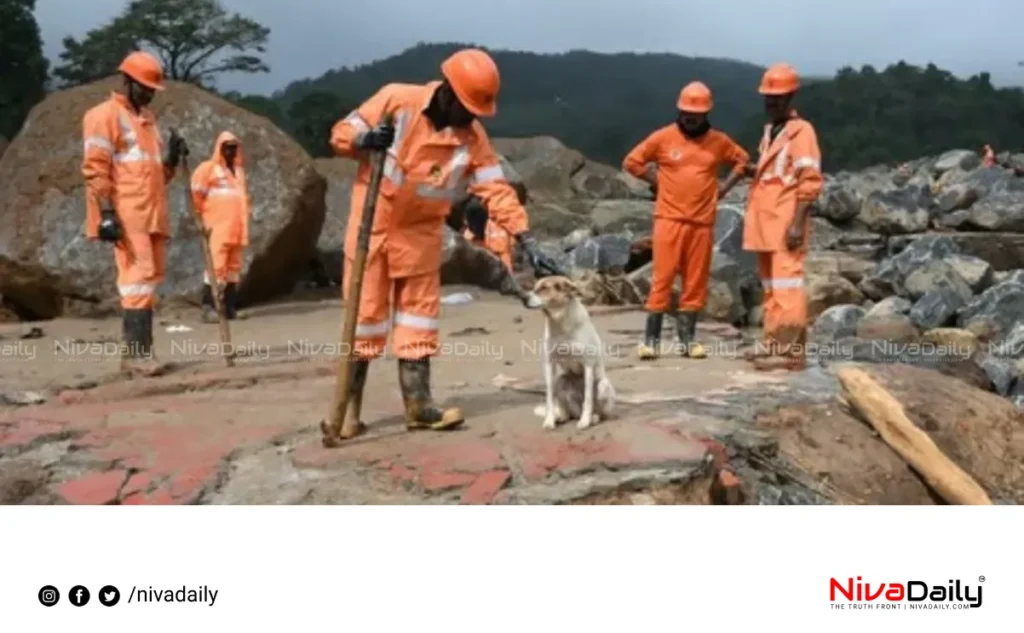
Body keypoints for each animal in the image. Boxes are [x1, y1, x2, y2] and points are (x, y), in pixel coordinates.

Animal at [528, 276, 614, 428]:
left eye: (544, 288)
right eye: (535, 287)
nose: (523, 297)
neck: (560, 322)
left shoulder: (588, 365)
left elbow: (588, 398)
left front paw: (585, 421)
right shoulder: (549, 364)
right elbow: (549, 398)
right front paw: (549, 421)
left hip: (603, 386)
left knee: (598, 412)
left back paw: (593, 418)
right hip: (561, 381)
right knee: (569, 412)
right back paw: (561, 417)